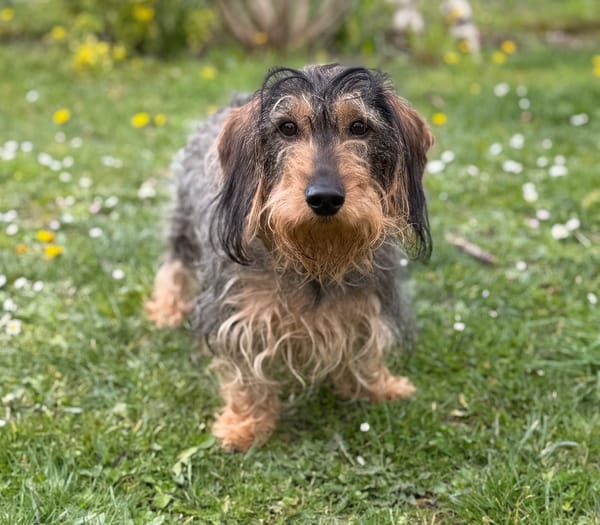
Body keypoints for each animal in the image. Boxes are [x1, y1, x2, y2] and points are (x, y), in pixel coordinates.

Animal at [145, 64, 433, 451]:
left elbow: (366, 346)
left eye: (359, 126)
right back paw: (167, 310)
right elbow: (244, 373)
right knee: (175, 267)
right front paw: (245, 424)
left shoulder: (369, 299)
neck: (316, 255)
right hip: (183, 228)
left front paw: (376, 386)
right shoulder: (239, 314)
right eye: (287, 127)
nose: (324, 198)